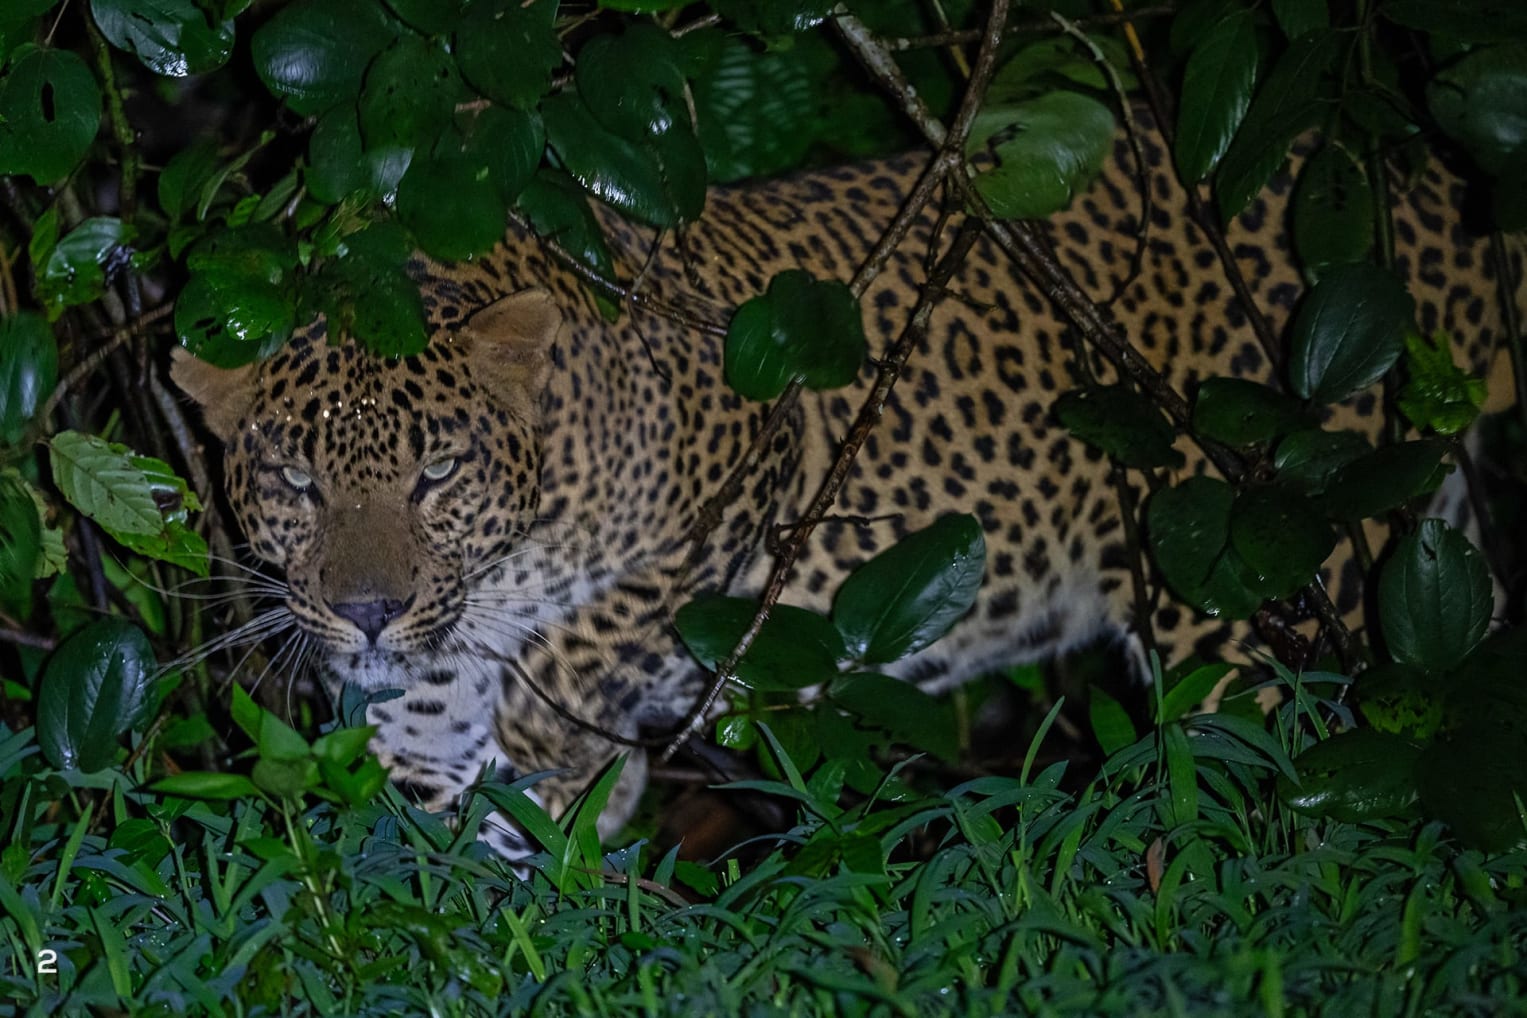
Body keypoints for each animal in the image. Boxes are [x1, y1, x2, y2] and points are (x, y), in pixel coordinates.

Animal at [172, 119, 1522, 861]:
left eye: (438, 472)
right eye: (296, 480)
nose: (368, 614)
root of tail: (1424, 193)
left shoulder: (746, 470)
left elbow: (589, 647)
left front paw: (569, 765)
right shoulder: (432, 671)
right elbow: (423, 794)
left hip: (1251, 584)